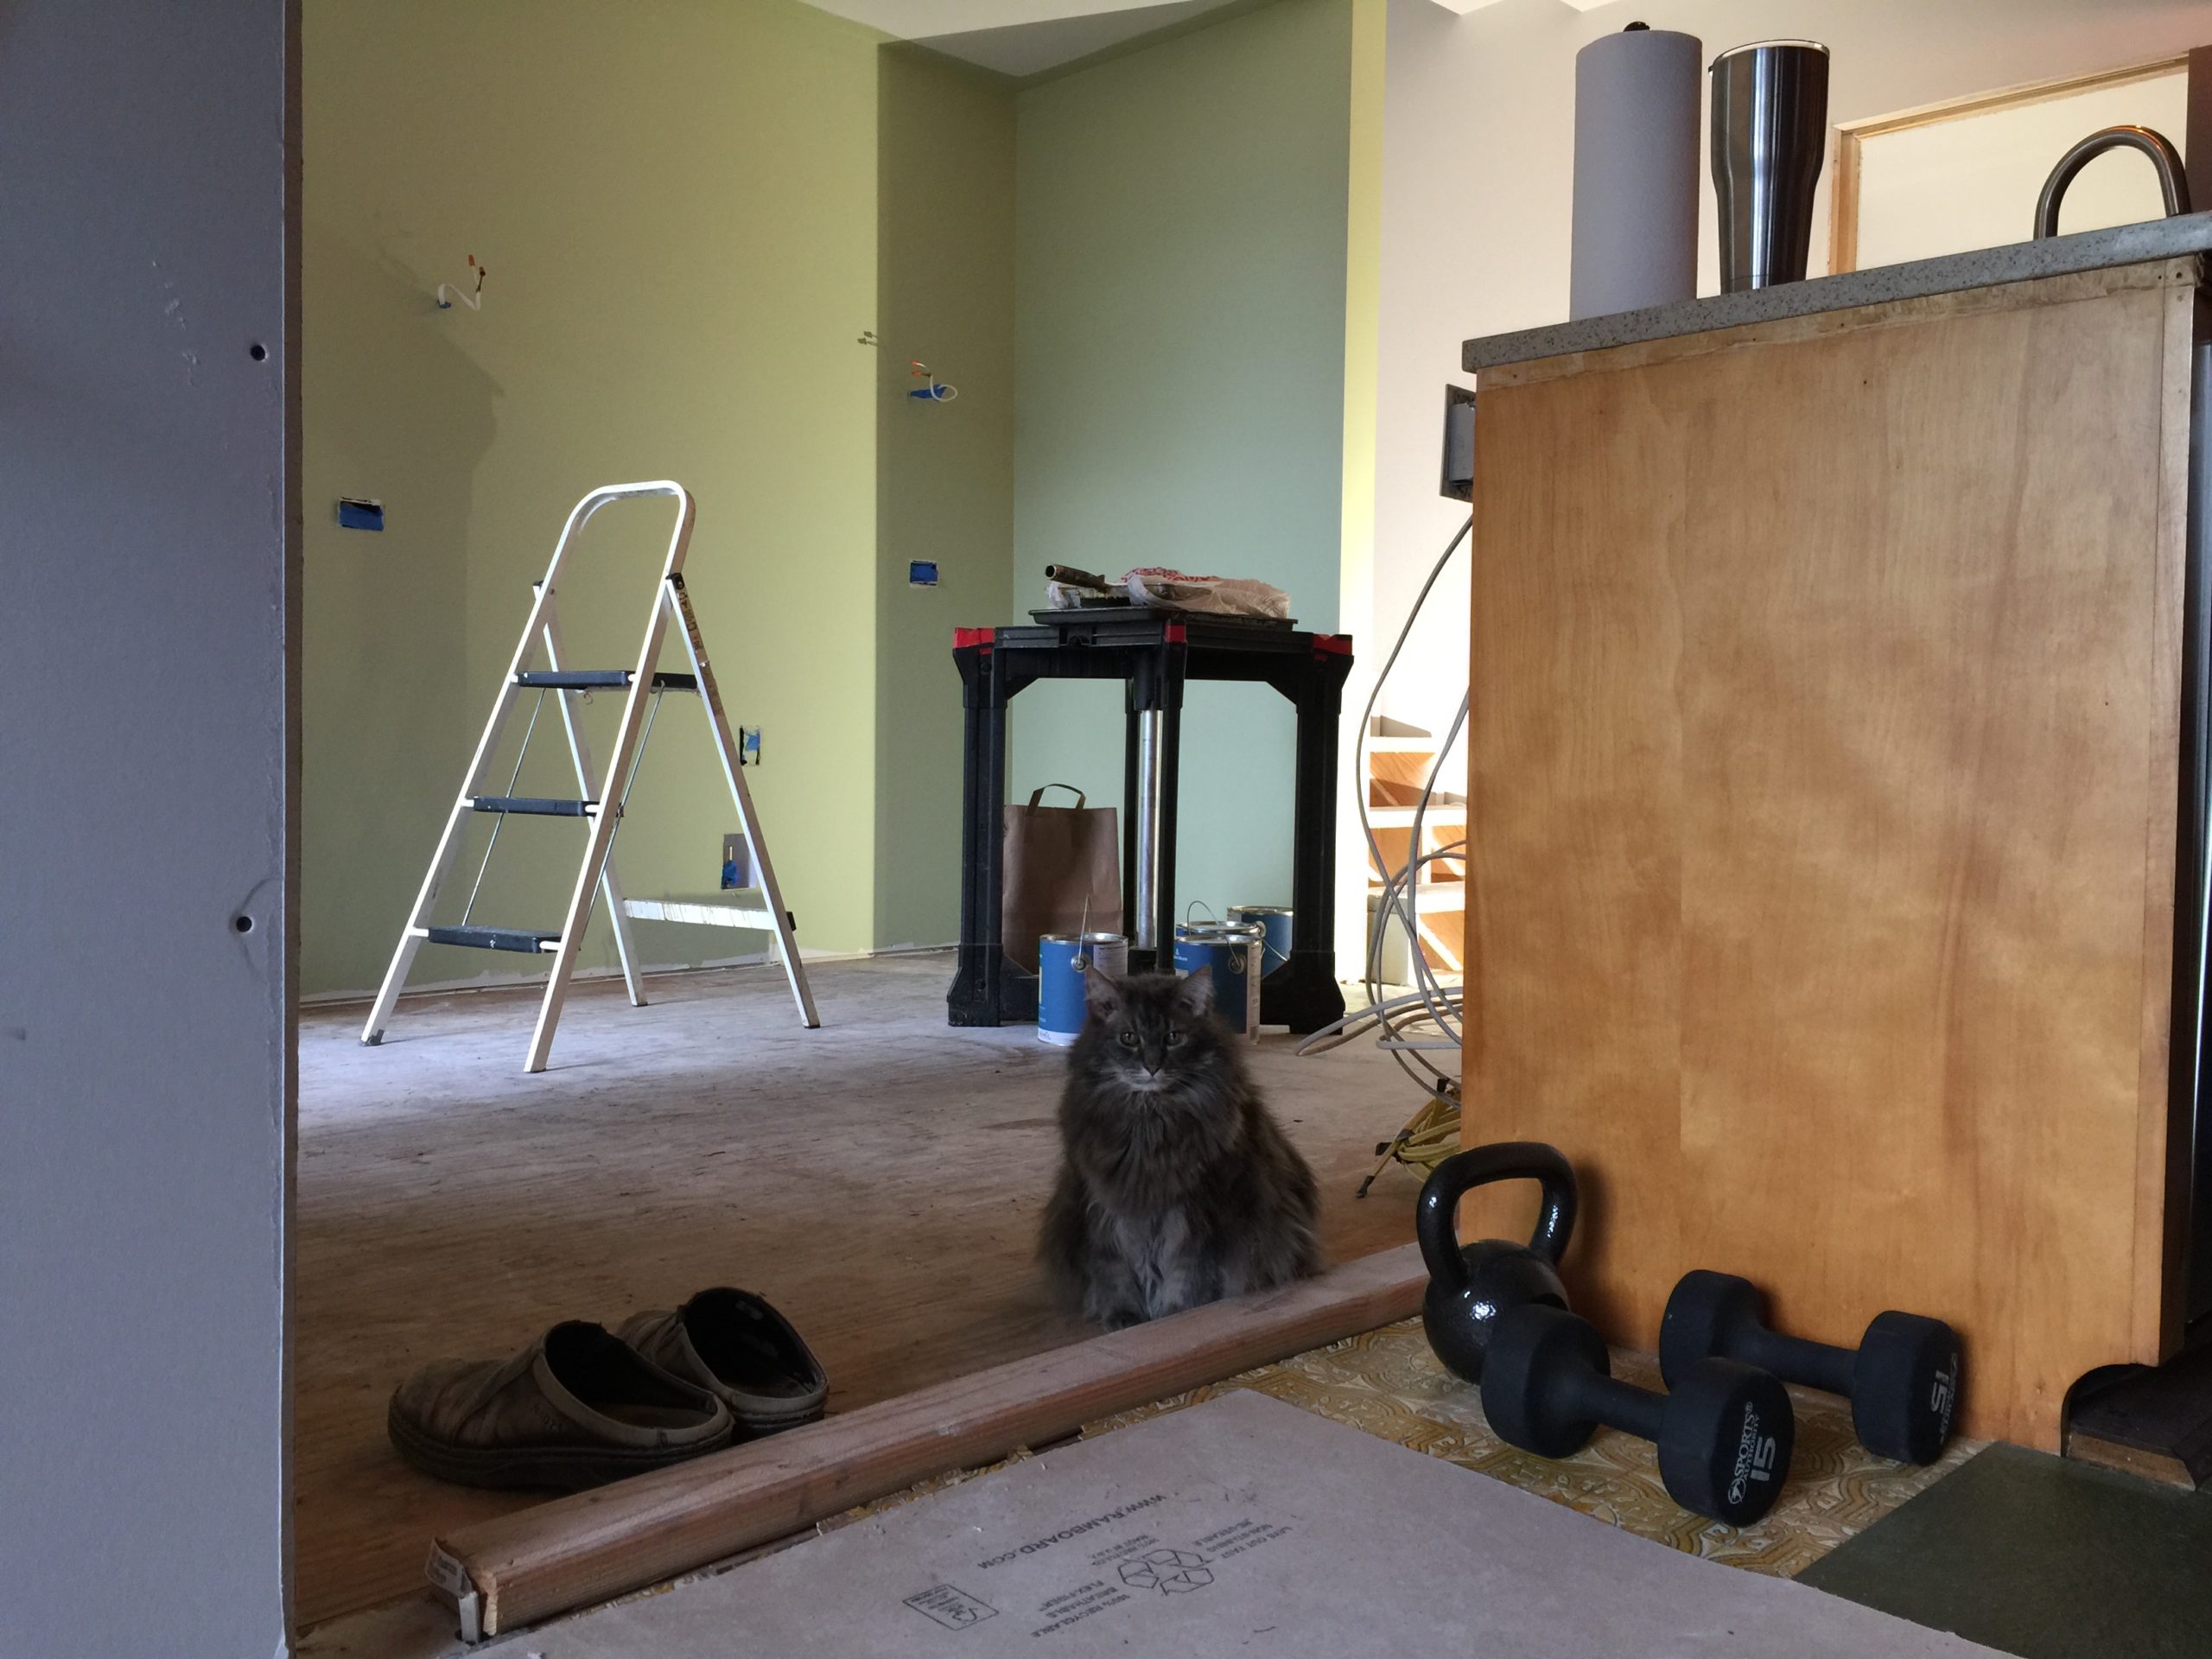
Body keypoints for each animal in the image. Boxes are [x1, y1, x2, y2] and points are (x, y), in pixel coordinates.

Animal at [1039, 963, 1322, 1328]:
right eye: (1129, 1038)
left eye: (1173, 1038)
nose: (1152, 1066)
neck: (1149, 1126)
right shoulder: (1104, 1208)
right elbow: (1115, 1272)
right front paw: (1124, 1316)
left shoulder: (1195, 1213)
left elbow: (1185, 1275)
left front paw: (1173, 1316)